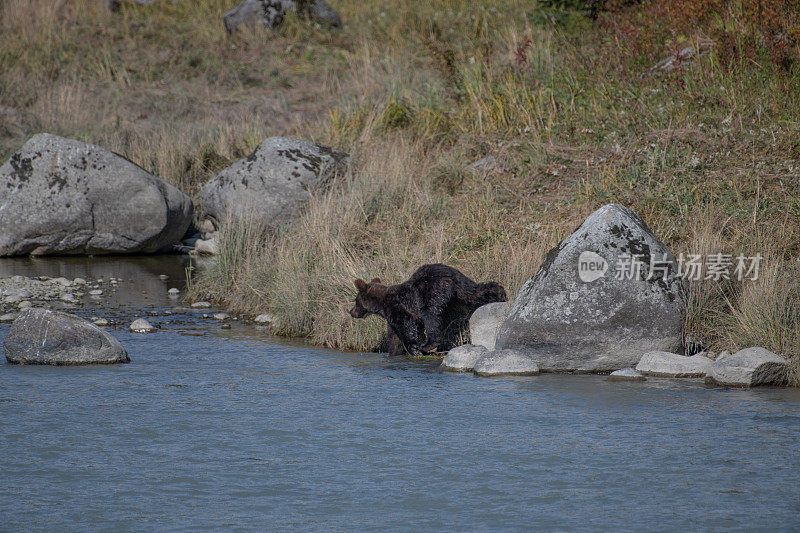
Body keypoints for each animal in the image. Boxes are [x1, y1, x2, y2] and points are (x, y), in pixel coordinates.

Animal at [348, 262, 506, 356]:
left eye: (356, 301)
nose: (351, 312)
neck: (381, 305)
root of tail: (449, 275)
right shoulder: (391, 317)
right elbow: (394, 337)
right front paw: (394, 352)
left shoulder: (399, 308)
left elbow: (406, 327)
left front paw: (414, 348)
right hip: (461, 285)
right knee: (474, 292)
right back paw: (500, 291)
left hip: (431, 292)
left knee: (431, 318)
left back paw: (427, 345)